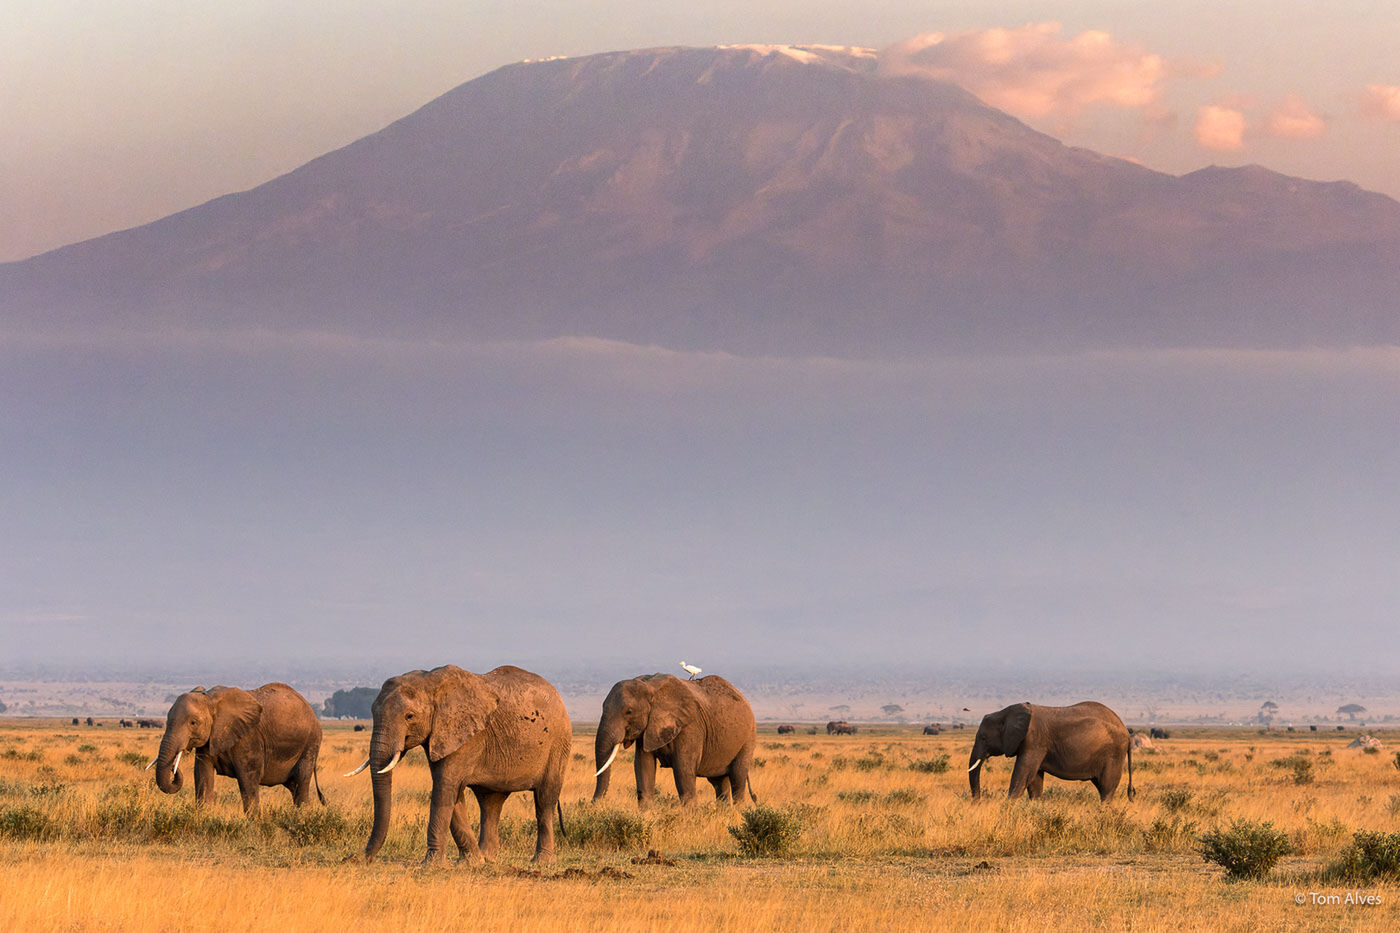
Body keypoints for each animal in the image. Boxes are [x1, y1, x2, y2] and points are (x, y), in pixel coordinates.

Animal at [148, 680, 324, 812]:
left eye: (193, 722)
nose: (173, 769)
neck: (210, 698)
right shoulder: (210, 738)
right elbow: (202, 776)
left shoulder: (249, 738)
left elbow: (248, 780)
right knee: (294, 787)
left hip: (310, 744)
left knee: (301, 784)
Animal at [345, 661, 568, 862]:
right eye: (372, 712)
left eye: (409, 716)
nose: (356, 858)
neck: (429, 681)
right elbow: (452, 793)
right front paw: (471, 862)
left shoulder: (466, 736)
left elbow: (445, 787)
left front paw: (432, 864)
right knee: (490, 803)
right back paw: (487, 858)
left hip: (558, 744)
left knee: (544, 801)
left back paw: (541, 861)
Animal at [596, 669, 761, 806]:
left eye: (628, 711)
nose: (594, 804)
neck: (649, 685)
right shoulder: (648, 730)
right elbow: (643, 766)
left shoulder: (690, 726)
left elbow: (683, 770)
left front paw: (689, 819)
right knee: (720, 783)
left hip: (748, 737)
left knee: (738, 778)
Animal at [968, 697, 1131, 801]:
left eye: (983, 738)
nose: (978, 802)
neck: (1005, 713)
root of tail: (1127, 731)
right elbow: (1034, 780)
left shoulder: (1034, 741)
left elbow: (1023, 775)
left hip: (1114, 753)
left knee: (1106, 788)